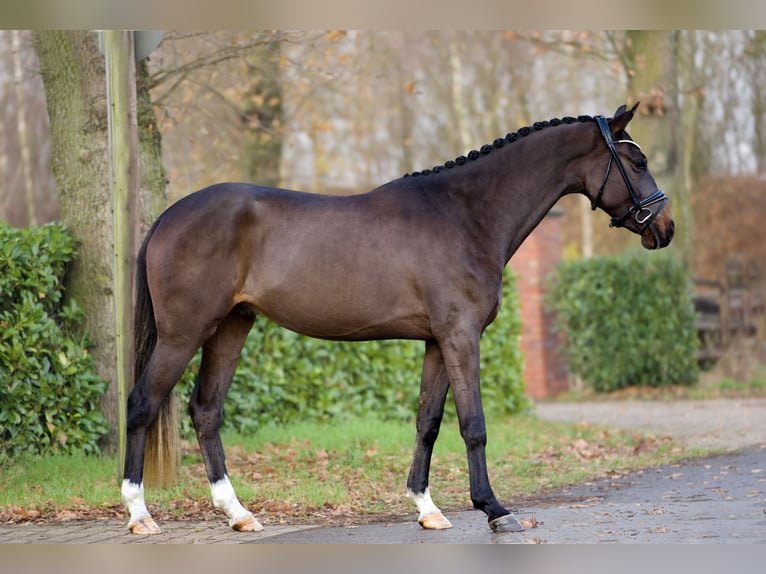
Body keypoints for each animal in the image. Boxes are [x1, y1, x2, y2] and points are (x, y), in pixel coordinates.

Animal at [121, 103, 674, 535]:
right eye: (637, 161)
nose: (665, 227)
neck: (464, 214)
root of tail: (169, 216)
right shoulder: (461, 336)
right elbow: (473, 424)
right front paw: (494, 509)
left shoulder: (437, 341)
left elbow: (427, 421)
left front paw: (427, 509)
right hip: (184, 333)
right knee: (143, 403)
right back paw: (140, 514)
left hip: (232, 326)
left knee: (206, 410)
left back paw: (238, 513)